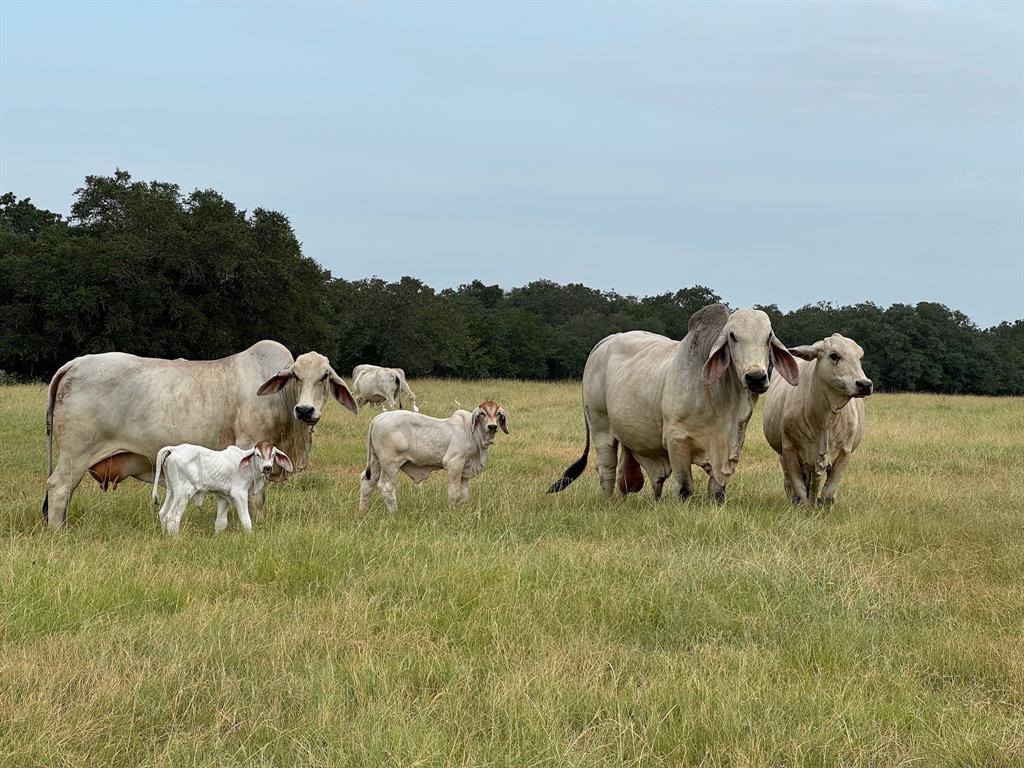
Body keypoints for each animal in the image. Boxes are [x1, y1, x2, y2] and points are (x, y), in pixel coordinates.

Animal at [153, 438, 294, 536]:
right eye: (257, 454)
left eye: (273, 454)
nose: (267, 467)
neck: (249, 467)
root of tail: (174, 449)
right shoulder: (239, 494)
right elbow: (246, 521)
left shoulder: (223, 497)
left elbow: (220, 523)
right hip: (183, 493)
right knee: (172, 517)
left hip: (172, 491)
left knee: (163, 513)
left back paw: (164, 536)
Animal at [360, 399, 507, 514]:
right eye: (482, 413)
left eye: (498, 413)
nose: (492, 426)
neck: (472, 433)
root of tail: (377, 418)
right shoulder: (454, 463)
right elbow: (454, 491)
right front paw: (452, 511)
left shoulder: (466, 468)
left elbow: (464, 493)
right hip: (390, 464)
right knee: (387, 487)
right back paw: (394, 512)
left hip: (375, 461)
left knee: (367, 482)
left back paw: (363, 510)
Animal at [552, 307, 798, 505]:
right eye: (733, 337)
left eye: (768, 337)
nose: (756, 377)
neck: (719, 400)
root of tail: (608, 340)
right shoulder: (676, 440)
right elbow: (685, 488)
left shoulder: (732, 445)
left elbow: (717, 489)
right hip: (600, 425)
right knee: (607, 469)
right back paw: (609, 502)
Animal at [761, 333, 872, 507]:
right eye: (834, 355)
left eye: (859, 356)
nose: (865, 384)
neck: (825, 420)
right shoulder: (789, 450)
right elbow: (800, 490)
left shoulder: (844, 452)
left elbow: (828, 493)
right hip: (783, 456)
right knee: (791, 483)